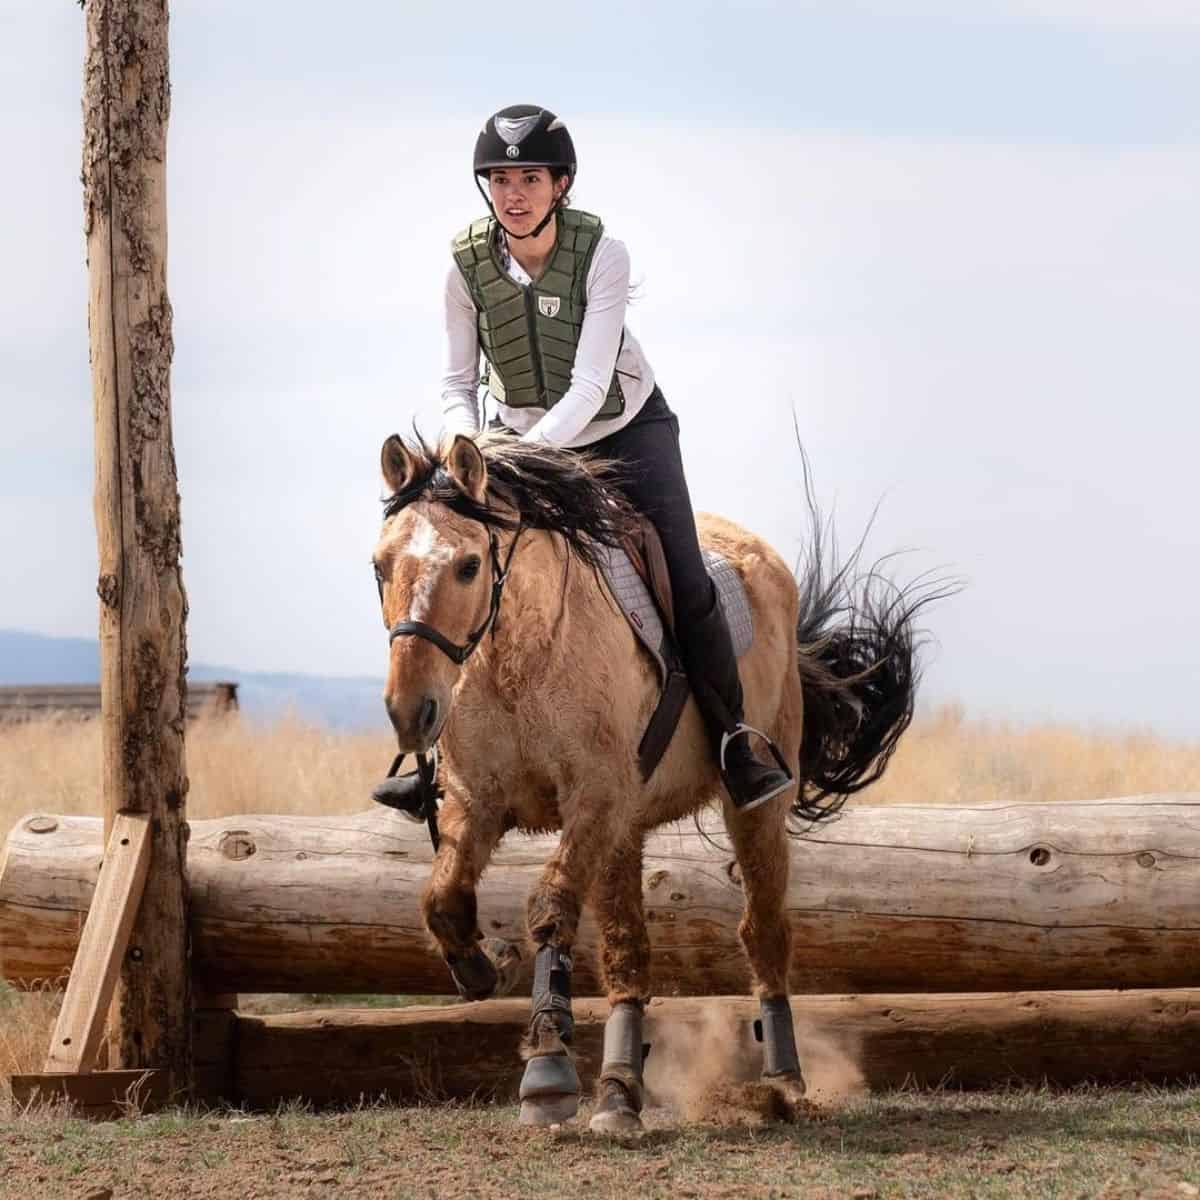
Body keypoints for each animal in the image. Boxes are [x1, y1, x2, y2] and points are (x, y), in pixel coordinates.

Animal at [369, 434, 931, 1132]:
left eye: (470, 566)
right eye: (379, 567)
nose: (409, 711)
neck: (518, 656)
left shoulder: (595, 800)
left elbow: (550, 909)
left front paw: (547, 1068)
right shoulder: (480, 802)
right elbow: (443, 902)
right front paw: (483, 967)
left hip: (752, 809)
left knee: (763, 931)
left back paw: (782, 1081)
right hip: (626, 833)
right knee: (628, 952)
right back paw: (619, 1089)